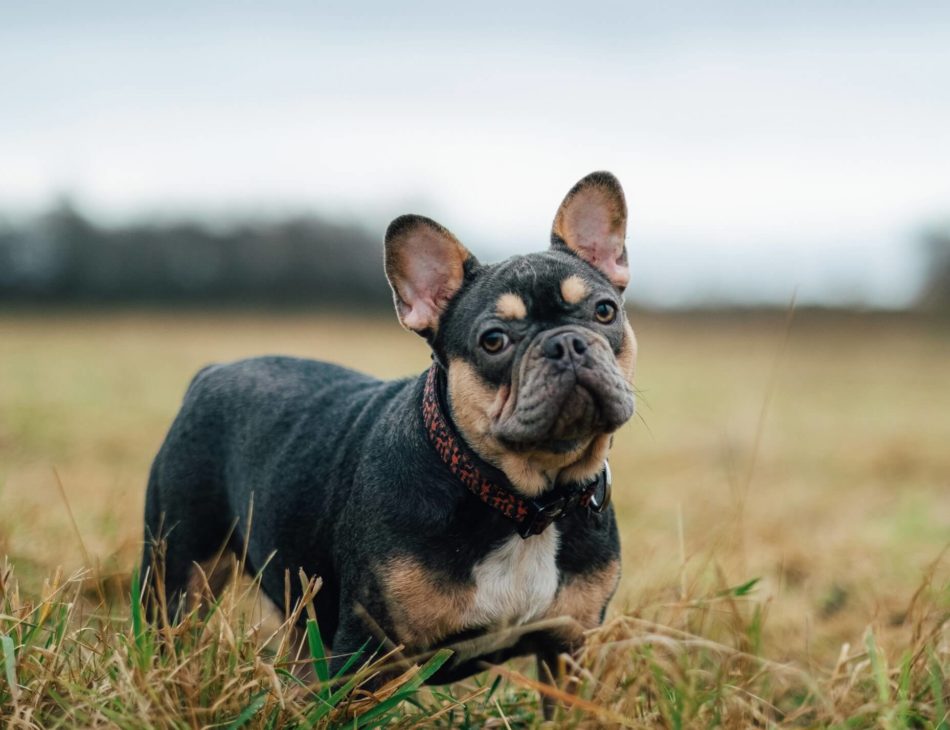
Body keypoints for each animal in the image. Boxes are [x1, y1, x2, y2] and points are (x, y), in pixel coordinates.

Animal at [141, 173, 640, 684]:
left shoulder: (567, 649)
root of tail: (213, 372)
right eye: (494, 340)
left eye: (605, 311)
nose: (567, 342)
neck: (526, 504)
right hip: (180, 566)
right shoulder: (364, 651)